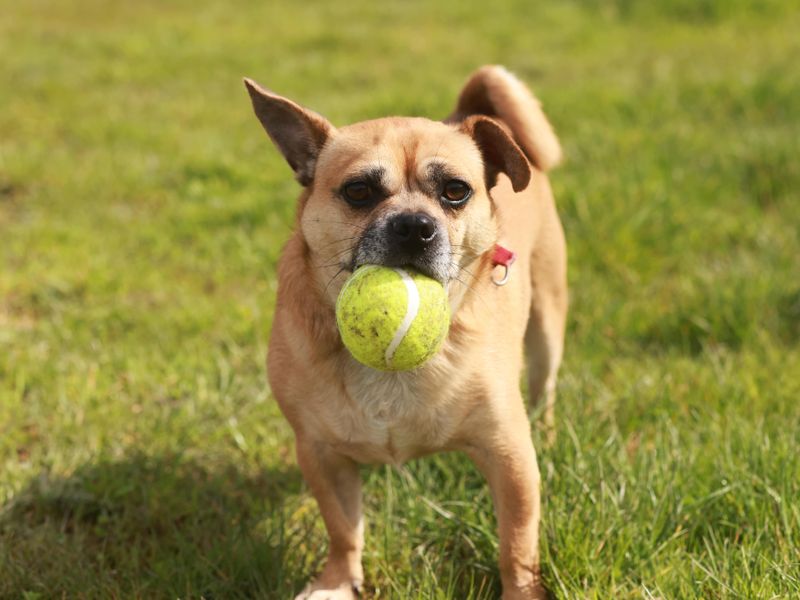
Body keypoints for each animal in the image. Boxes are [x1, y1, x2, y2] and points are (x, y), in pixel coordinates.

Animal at [244, 65, 568, 600]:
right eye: (358, 192)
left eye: (456, 191)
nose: (415, 225)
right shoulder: (319, 453)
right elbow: (342, 528)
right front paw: (338, 582)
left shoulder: (509, 456)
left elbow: (517, 543)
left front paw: (522, 591)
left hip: (546, 324)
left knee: (545, 389)